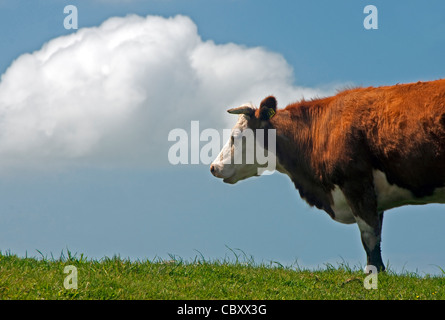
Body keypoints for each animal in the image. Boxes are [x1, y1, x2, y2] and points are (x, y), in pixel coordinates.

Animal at [210, 79, 444, 272]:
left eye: (235, 137)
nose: (214, 167)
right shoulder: (374, 195)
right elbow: (376, 236)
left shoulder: (355, 183)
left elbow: (369, 236)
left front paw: (373, 273)